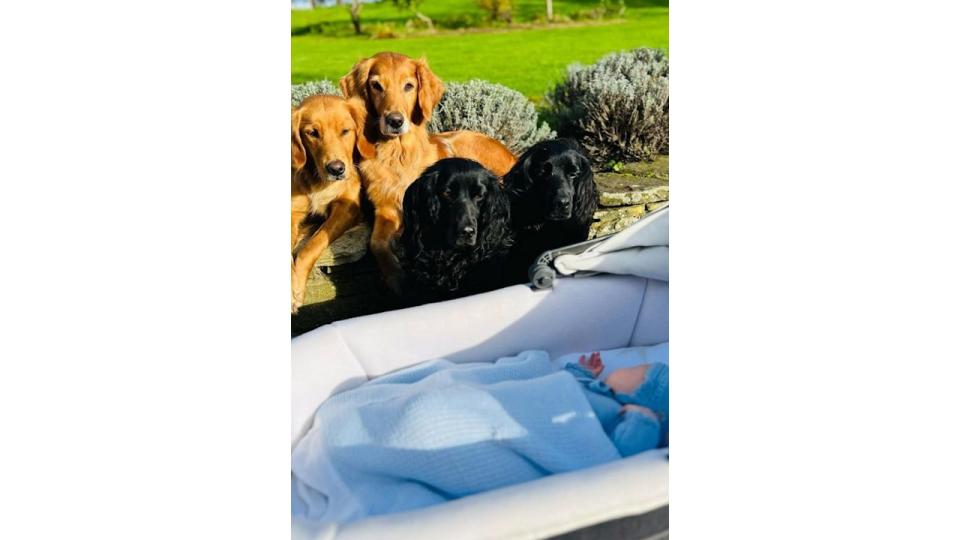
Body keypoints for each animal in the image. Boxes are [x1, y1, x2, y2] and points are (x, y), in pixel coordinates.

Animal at [290, 93, 374, 312]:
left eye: (345, 131)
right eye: (312, 133)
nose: (336, 169)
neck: (319, 182)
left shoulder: (347, 209)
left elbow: (312, 245)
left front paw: (295, 289)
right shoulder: (292, 212)